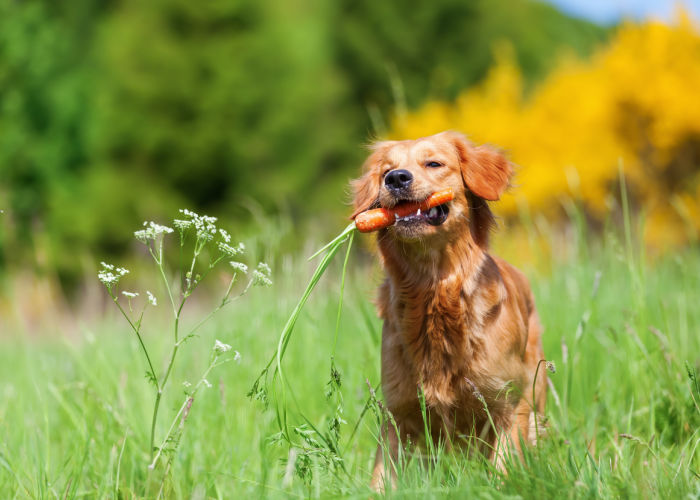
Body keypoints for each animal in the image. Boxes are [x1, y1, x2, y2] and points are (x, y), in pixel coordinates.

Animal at [350, 131, 548, 490]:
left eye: (434, 163)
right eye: (386, 170)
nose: (396, 178)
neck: (434, 292)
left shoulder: (508, 404)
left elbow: (503, 470)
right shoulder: (399, 412)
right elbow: (381, 478)